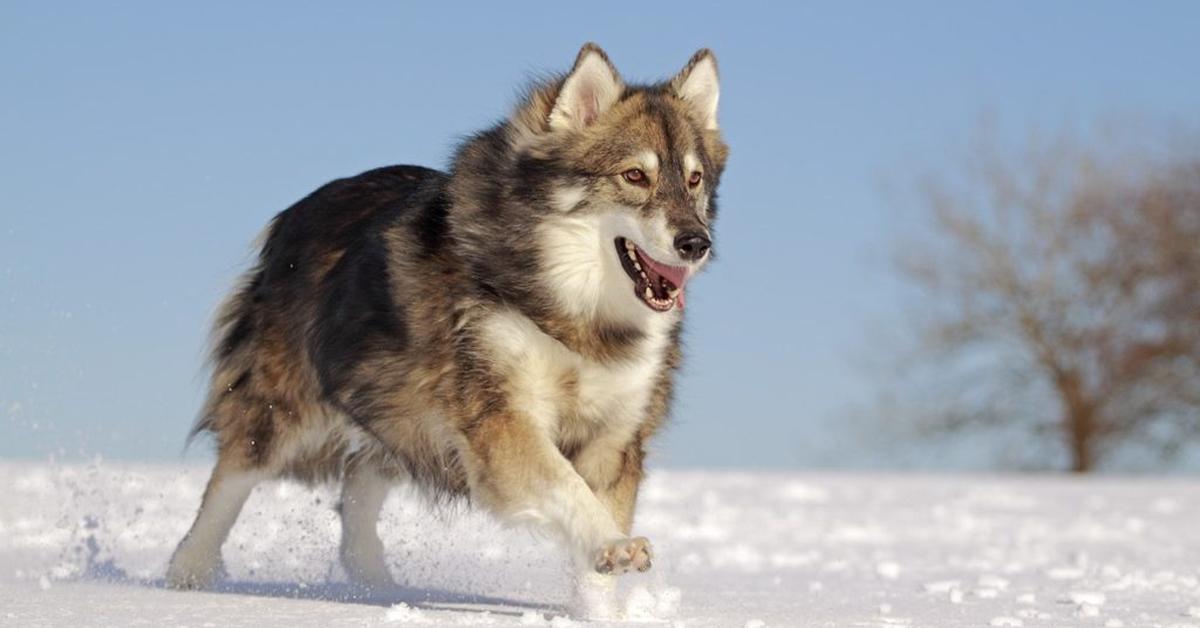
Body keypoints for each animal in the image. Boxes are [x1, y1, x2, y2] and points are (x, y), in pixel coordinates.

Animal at [166, 45, 729, 619]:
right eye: (634, 175)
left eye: (694, 180)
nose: (696, 243)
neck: (577, 314)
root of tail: (291, 216)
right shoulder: (499, 420)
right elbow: (568, 488)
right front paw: (613, 544)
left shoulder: (616, 435)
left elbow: (592, 548)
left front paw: (602, 613)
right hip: (285, 409)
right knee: (231, 478)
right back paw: (187, 572)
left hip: (394, 408)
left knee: (358, 494)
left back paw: (379, 590)